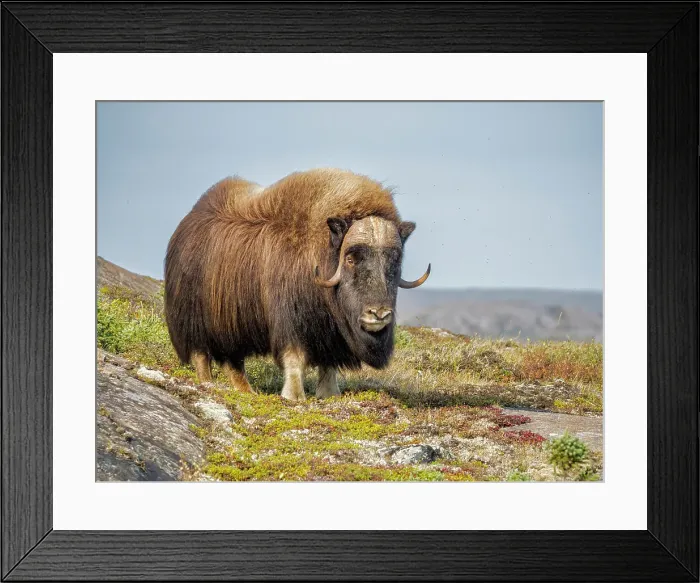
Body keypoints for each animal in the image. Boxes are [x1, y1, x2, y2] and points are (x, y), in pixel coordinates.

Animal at [164, 168, 430, 402]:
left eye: (395, 260)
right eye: (351, 258)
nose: (379, 314)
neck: (320, 249)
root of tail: (185, 224)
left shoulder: (329, 331)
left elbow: (329, 363)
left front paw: (330, 394)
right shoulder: (290, 320)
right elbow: (295, 357)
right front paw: (294, 396)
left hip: (232, 327)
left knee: (234, 361)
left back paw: (247, 392)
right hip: (194, 321)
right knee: (201, 355)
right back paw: (207, 384)